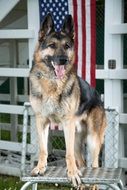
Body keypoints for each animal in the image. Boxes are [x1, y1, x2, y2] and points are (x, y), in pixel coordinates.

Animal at [29, 14, 106, 188]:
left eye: (67, 46)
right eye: (51, 45)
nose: (63, 60)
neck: (52, 83)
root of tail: (99, 98)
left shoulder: (66, 123)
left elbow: (68, 154)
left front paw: (72, 173)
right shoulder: (41, 121)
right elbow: (43, 149)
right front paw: (40, 168)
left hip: (92, 140)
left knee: (95, 166)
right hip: (77, 141)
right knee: (83, 162)